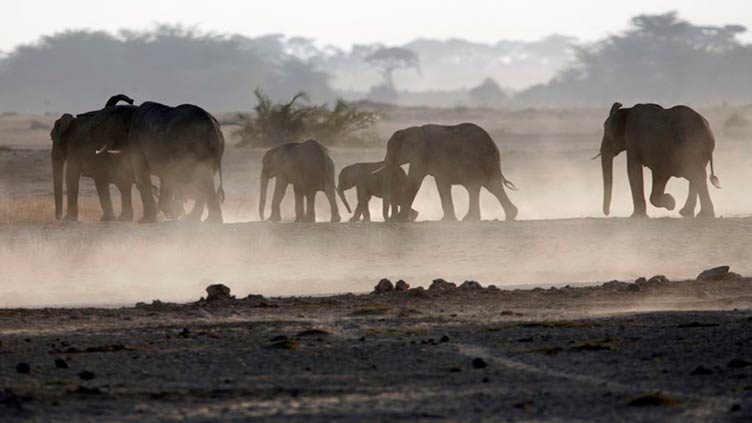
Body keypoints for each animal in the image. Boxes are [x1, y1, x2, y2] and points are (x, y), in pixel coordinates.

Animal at [90, 101, 225, 224]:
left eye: (105, 129)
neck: (131, 111)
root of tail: (213, 124)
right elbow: (165, 178)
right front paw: (173, 213)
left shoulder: (136, 144)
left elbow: (142, 178)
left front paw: (147, 220)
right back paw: (196, 219)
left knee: (202, 179)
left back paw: (208, 221)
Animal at [376, 122, 516, 222]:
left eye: (392, 149)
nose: (389, 219)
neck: (411, 130)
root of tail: (490, 143)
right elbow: (442, 185)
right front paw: (447, 220)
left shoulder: (420, 154)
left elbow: (414, 180)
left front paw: (401, 220)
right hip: (488, 163)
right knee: (493, 186)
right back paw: (511, 215)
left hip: (471, 162)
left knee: (473, 187)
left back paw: (470, 219)